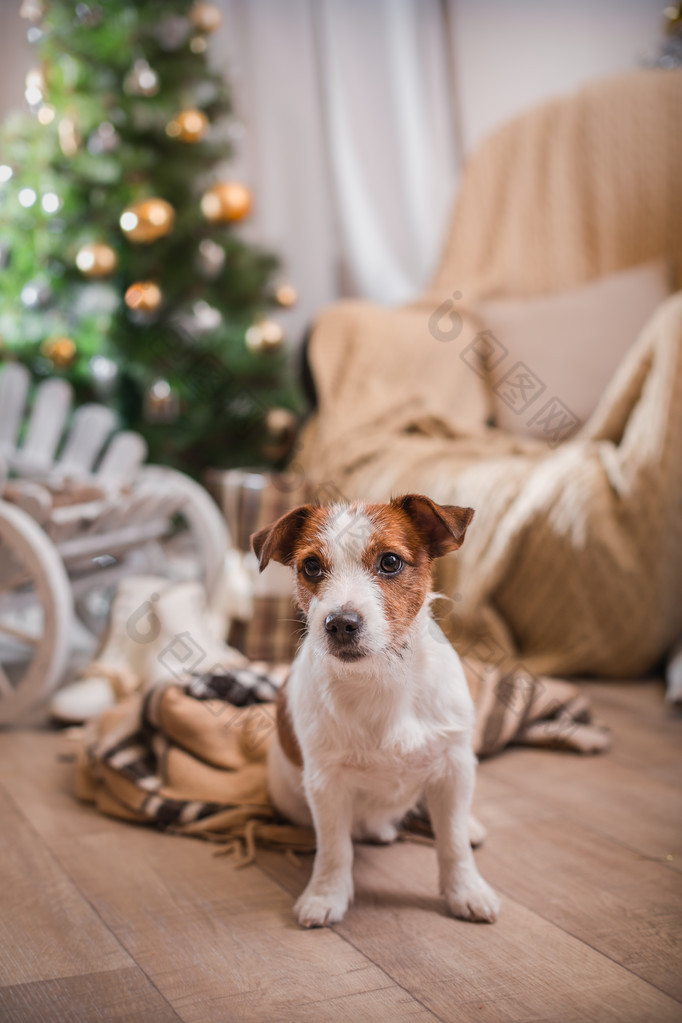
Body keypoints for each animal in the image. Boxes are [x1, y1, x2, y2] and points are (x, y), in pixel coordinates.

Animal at [253, 493, 498, 928]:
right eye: (310, 566)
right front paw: (326, 894)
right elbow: (334, 848)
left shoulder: (453, 764)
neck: (382, 678)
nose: (340, 623)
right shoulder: (326, 784)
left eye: (390, 562)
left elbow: (452, 842)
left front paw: (466, 890)